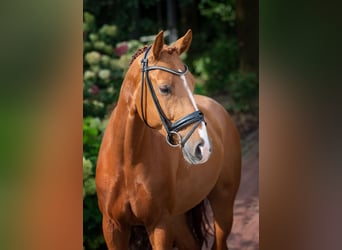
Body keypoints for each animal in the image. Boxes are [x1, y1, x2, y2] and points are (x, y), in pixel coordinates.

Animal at [95, 30, 242, 249]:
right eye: (164, 88)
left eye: (192, 83)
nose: (203, 147)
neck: (127, 162)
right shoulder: (113, 227)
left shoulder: (159, 225)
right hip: (178, 218)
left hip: (222, 204)